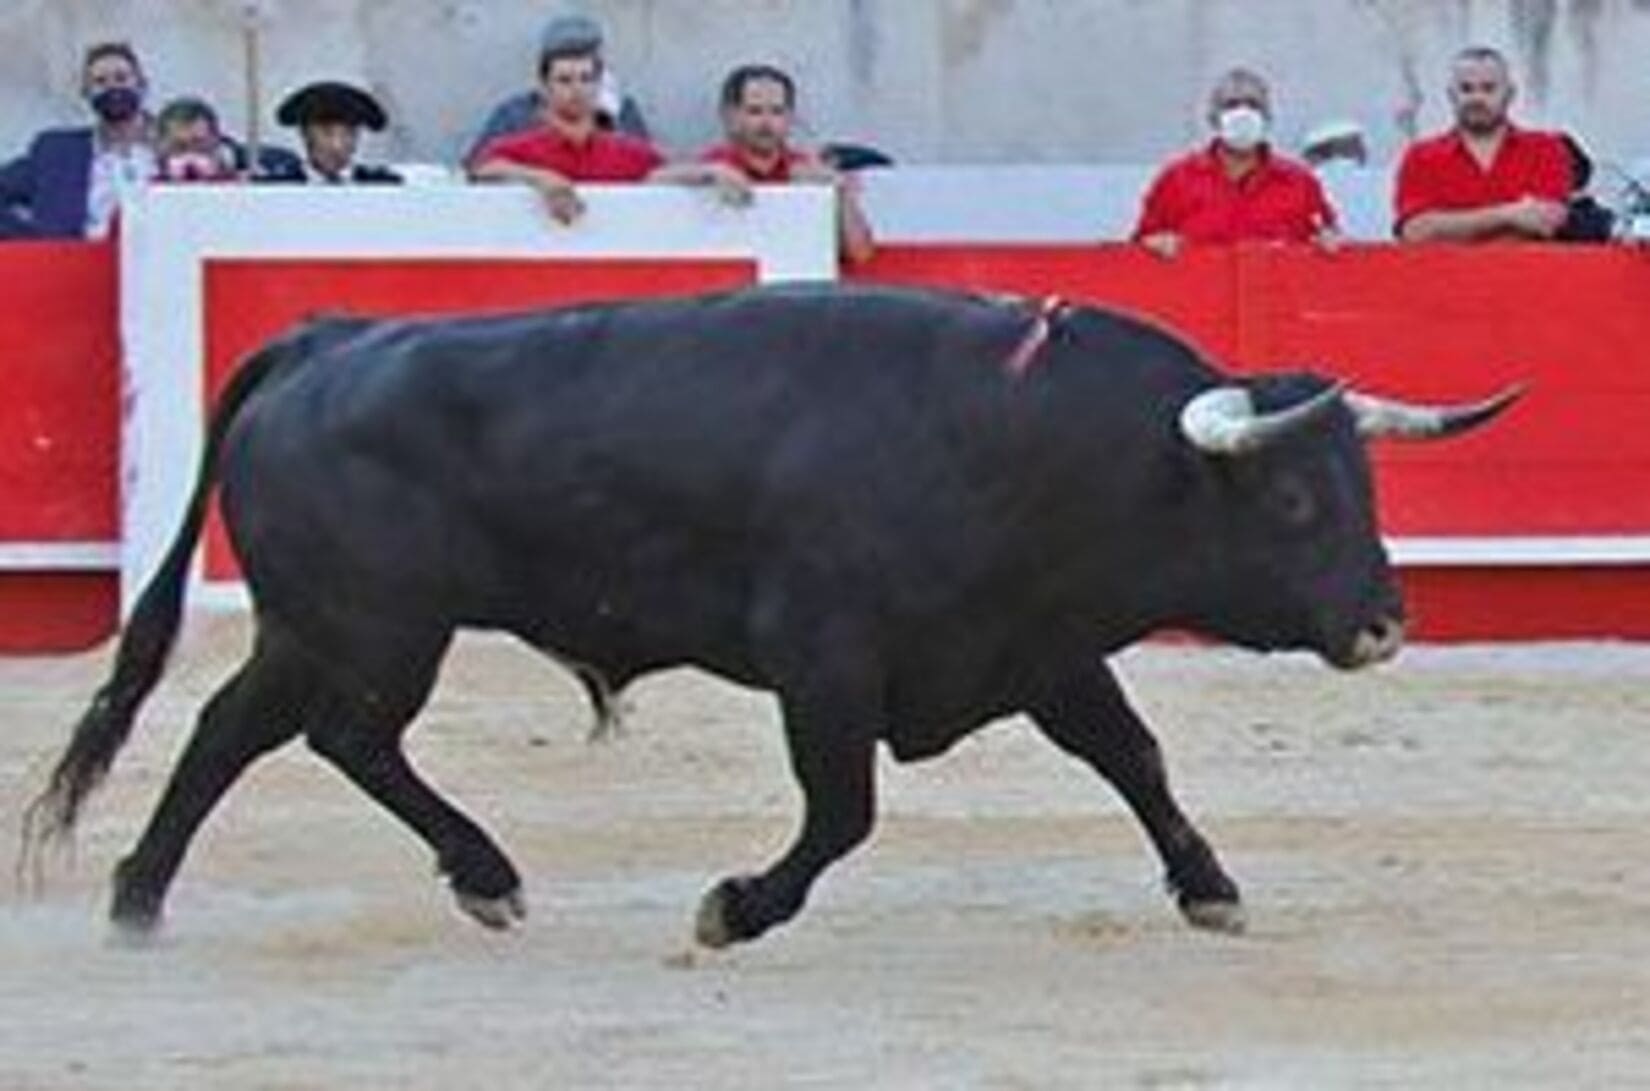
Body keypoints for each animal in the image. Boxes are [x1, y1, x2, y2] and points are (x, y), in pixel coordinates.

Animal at [19, 285, 1511, 937]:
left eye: (1361, 483)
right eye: (1295, 499)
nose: (1383, 620)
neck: (1024, 436)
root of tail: (323, 339)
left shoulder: (1035, 643)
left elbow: (1133, 756)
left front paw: (1209, 886)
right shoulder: (824, 660)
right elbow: (841, 809)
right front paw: (735, 905)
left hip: (322, 622)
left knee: (241, 728)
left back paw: (146, 896)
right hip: (380, 626)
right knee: (336, 735)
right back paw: (480, 871)